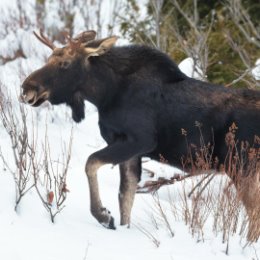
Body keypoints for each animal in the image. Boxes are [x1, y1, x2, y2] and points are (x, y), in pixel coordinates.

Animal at [20, 30, 260, 230]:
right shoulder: (131, 151)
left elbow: (91, 163)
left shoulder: (139, 140)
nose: (26, 88)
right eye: (49, 59)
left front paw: (103, 216)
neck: (105, 94)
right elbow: (125, 198)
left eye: (65, 63)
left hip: (241, 167)